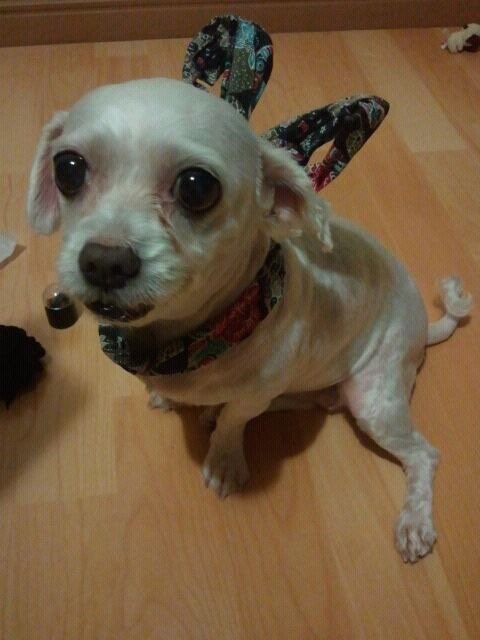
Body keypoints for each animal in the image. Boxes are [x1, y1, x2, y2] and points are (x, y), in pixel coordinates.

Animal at [27, 78, 472, 562]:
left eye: (197, 187)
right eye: (68, 168)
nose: (104, 262)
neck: (194, 338)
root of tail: (422, 329)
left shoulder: (250, 397)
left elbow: (235, 421)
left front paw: (224, 460)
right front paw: (174, 400)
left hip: (373, 398)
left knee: (423, 454)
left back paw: (415, 522)